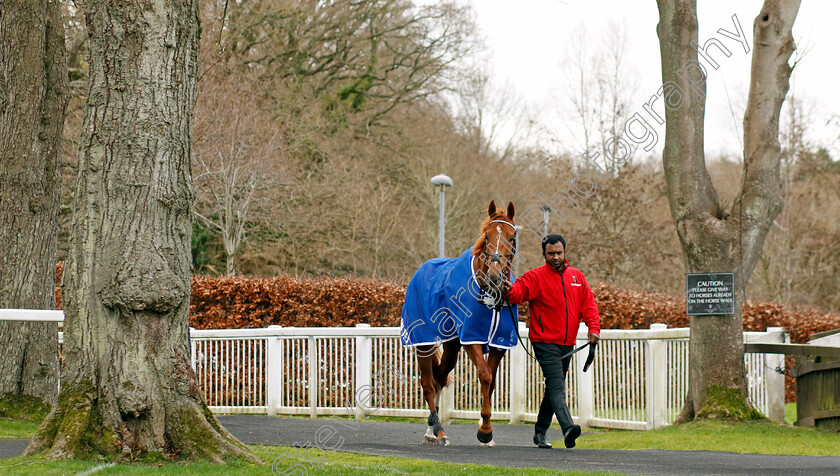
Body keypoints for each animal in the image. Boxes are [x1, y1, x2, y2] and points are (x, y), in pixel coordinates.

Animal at [398, 199, 516, 444]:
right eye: (487, 236)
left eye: (511, 237)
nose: (495, 275)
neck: (490, 294)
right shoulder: (471, 338)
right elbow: (485, 375)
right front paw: (485, 430)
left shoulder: (499, 344)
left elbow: (491, 382)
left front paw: (485, 430)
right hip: (423, 341)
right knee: (428, 383)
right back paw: (437, 430)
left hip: (452, 345)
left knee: (440, 378)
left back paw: (432, 430)